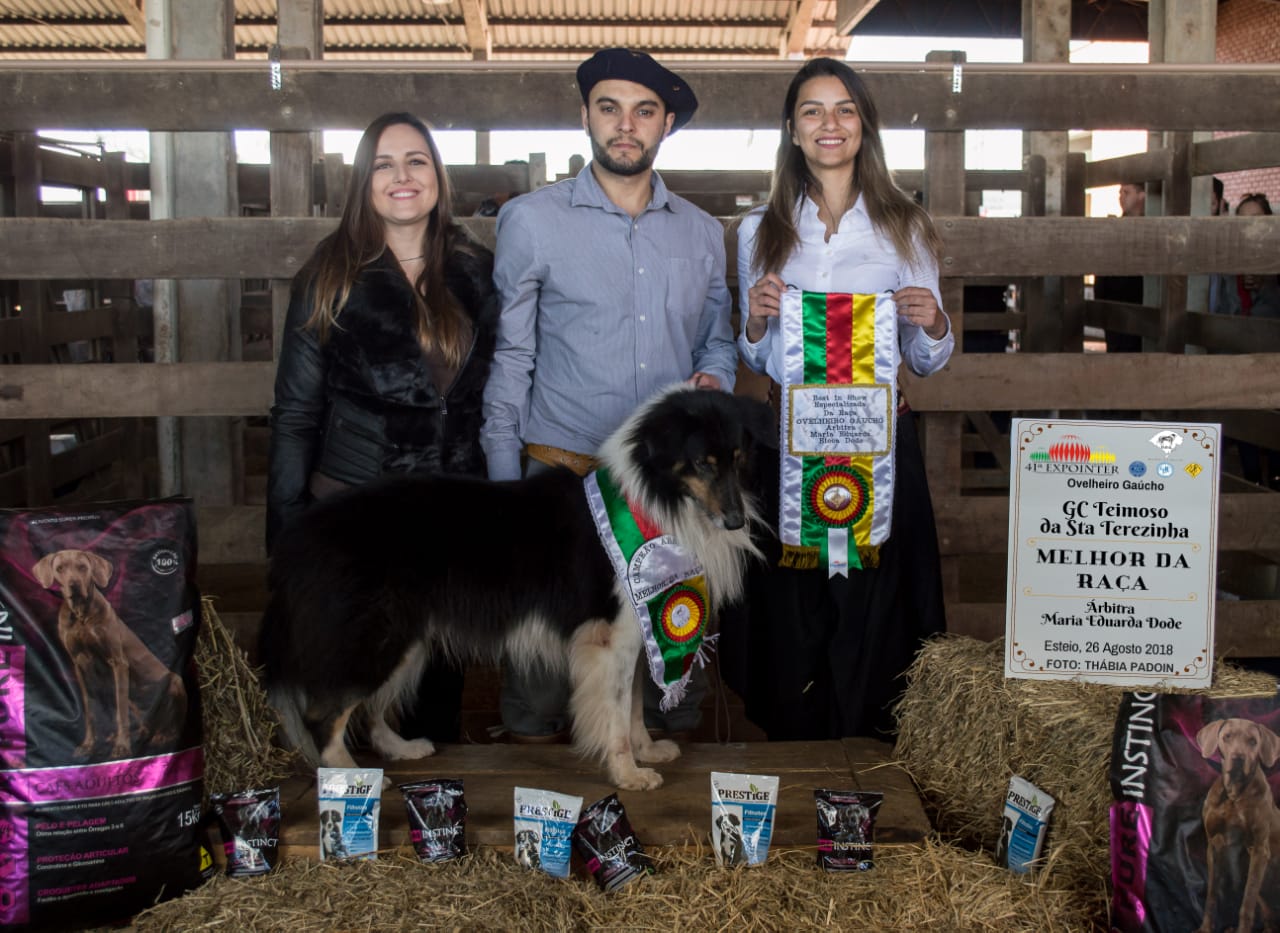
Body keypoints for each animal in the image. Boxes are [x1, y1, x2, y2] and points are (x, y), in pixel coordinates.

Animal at [259, 389, 768, 788]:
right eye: (703, 463)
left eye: (737, 459)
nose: (735, 520)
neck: (651, 493)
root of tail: (295, 540)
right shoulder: (613, 637)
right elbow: (618, 713)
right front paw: (628, 774)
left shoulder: (638, 629)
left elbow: (633, 710)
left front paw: (646, 752)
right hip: (371, 638)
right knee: (325, 714)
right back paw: (350, 776)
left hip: (404, 640)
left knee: (369, 708)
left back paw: (400, 749)